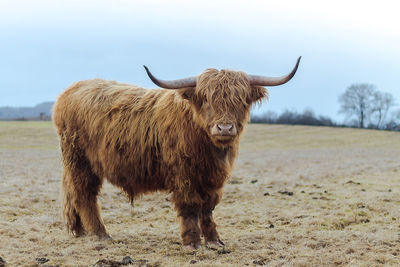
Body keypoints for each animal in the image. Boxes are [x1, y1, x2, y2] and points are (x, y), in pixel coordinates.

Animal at [52, 57, 300, 250]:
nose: (224, 128)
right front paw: (192, 242)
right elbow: (190, 207)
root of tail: (70, 91)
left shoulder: (213, 179)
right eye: (207, 99)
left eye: (239, 100)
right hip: (81, 162)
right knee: (84, 195)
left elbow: (208, 208)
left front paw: (214, 241)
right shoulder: (184, 176)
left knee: (73, 194)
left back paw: (80, 231)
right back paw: (101, 234)